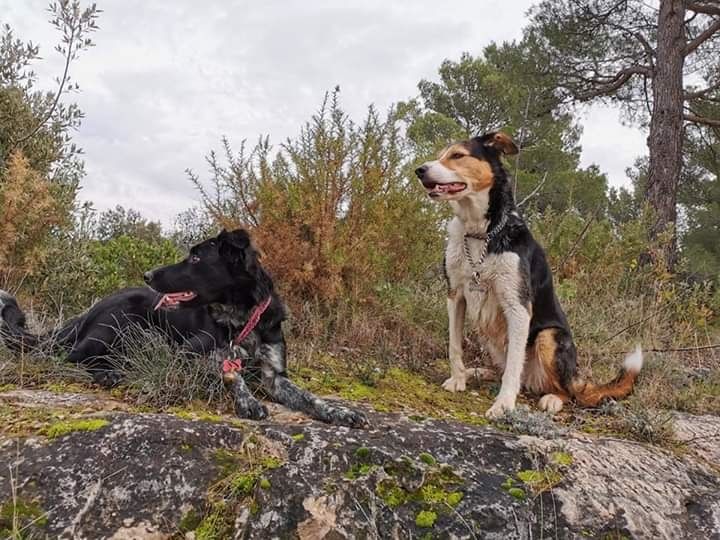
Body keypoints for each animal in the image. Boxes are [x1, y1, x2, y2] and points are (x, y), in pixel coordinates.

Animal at [0, 228, 368, 426]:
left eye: (195, 258)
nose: (147, 274)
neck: (243, 317)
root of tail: (85, 313)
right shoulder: (190, 354)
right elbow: (230, 373)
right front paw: (247, 401)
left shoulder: (274, 375)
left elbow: (309, 397)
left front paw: (340, 412)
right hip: (120, 323)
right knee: (71, 359)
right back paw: (108, 375)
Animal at [414, 133, 644, 420]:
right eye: (441, 155)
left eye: (457, 155)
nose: (419, 170)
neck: (480, 232)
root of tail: (576, 379)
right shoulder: (455, 296)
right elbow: (454, 345)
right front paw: (458, 379)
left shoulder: (518, 307)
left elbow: (514, 366)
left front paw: (503, 405)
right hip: (488, 335)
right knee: (510, 372)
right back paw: (477, 372)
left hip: (549, 338)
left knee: (566, 392)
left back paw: (552, 399)